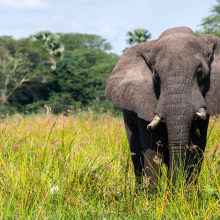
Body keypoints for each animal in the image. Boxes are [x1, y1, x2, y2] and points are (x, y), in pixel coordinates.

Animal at [104, 25, 220, 187]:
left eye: (200, 73)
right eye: (156, 77)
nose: (176, 188)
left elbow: (196, 149)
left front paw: (185, 192)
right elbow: (152, 150)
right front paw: (155, 194)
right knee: (136, 155)